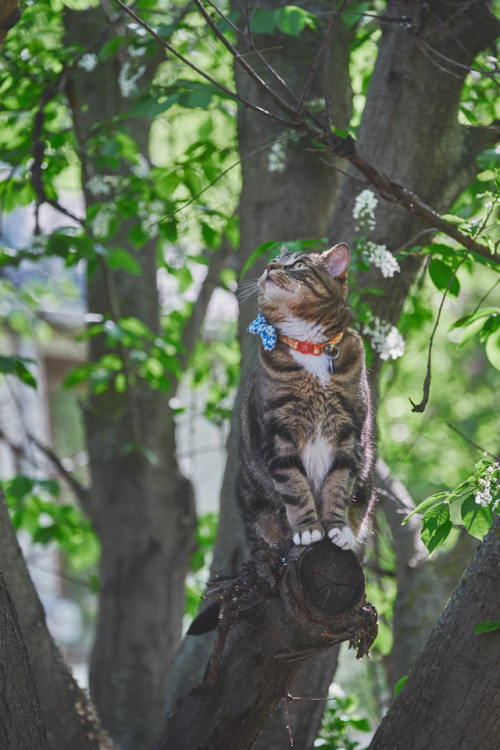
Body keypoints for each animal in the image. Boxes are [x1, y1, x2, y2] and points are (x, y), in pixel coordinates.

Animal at [236, 244, 374, 556]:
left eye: (298, 266)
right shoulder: (278, 431)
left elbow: (339, 483)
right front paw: (308, 529)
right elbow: (294, 486)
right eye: (273, 261)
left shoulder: (349, 431)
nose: (269, 268)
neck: (309, 345)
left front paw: (337, 528)